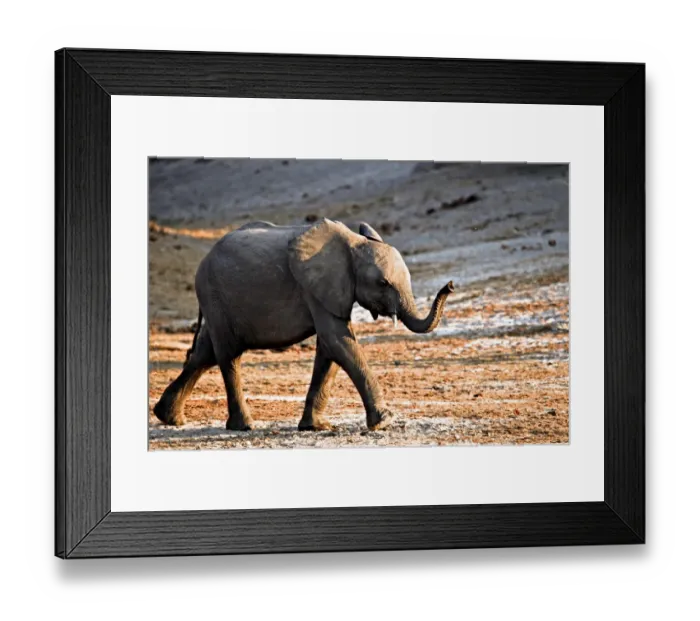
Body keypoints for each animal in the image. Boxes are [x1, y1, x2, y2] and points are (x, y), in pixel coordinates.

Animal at [153, 218, 454, 432]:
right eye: (383, 283)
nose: (450, 285)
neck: (352, 243)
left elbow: (330, 349)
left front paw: (316, 427)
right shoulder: (314, 287)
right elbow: (338, 340)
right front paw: (385, 421)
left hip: (215, 302)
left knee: (205, 352)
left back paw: (169, 418)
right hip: (214, 294)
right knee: (228, 355)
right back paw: (243, 426)